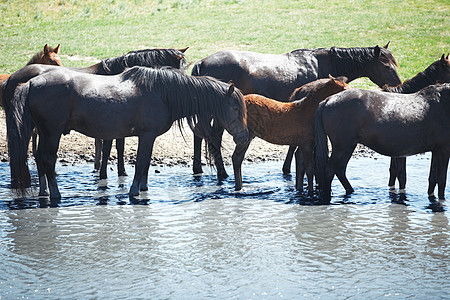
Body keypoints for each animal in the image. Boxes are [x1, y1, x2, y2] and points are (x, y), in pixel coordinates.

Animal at [1, 46, 188, 178]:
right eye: (181, 67)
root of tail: (12, 78)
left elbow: (118, 147)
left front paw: (119, 171)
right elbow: (109, 147)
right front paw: (105, 174)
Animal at [5, 67, 248, 200]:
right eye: (235, 107)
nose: (244, 136)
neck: (163, 93)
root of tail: (30, 83)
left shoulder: (148, 137)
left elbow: (146, 164)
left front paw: (143, 187)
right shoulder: (146, 135)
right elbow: (140, 163)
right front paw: (134, 191)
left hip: (44, 133)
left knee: (39, 158)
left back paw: (44, 192)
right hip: (52, 133)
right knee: (48, 160)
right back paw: (55, 194)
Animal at [190, 43, 400, 179]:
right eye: (386, 65)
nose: (397, 86)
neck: (321, 63)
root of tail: (201, 63)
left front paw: (288, 169)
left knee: (201, 134)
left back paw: (199, 169)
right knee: (213, 137)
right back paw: (222, 173)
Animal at [312, 83, 450, 203]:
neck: (442, 104)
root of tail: (329, 99)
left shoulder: (436, 150)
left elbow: (433, 178)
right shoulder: (444, 150)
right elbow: (441, 180)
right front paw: (441, 201)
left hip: (348, 146)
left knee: (340, 170)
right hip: (342, 147)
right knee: (330, 170)